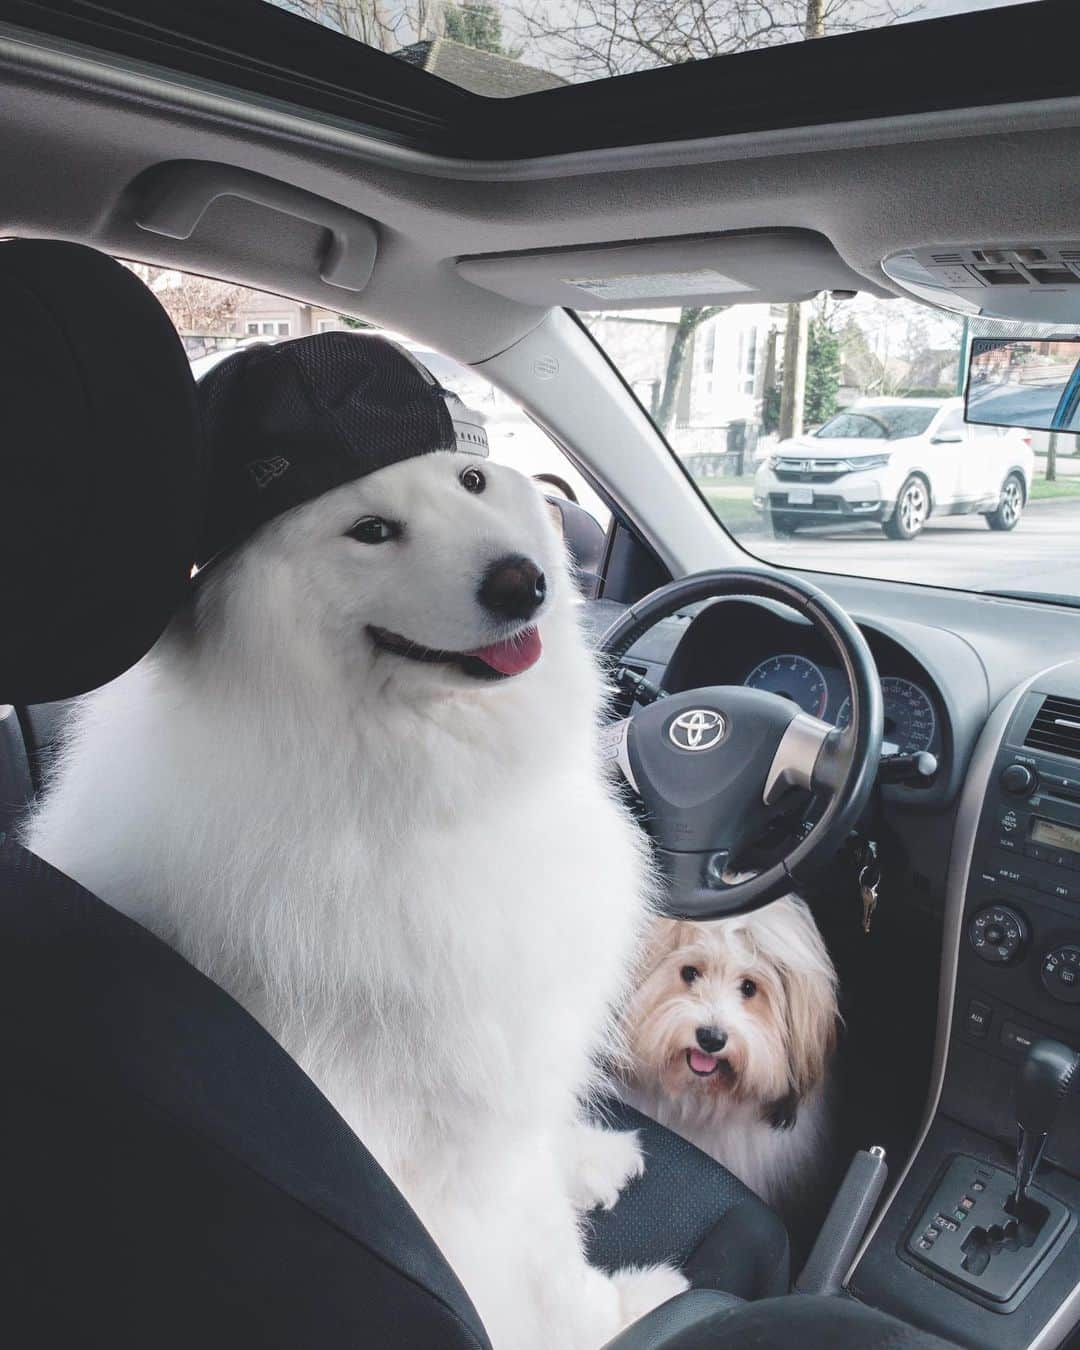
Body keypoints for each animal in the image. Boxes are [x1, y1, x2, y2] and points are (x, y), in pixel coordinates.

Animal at [25, 448, 688, 1344]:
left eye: (472, 481)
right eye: (370, 530)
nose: (525, 582)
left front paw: (588, 1158)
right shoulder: (474, 1130)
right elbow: (545, 1258)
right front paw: (621, 1312)